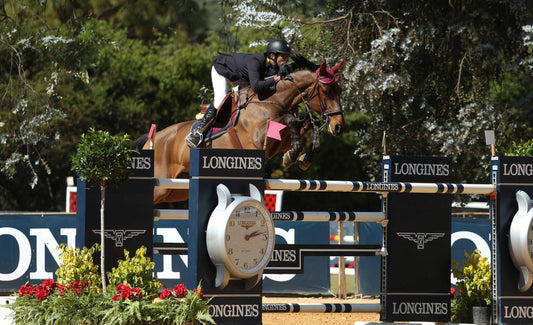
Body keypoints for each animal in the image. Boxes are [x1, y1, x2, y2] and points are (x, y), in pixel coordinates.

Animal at [135, 55, 344, 202]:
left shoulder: (278, 143)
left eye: (340, 91)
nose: (338, 126)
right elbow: (291, 120)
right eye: (326, 91)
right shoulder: (259, 139)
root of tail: (152, 138)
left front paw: (302, 156)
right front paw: (294, 154)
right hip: (160, 188)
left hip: (176, 190)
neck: (272, 99)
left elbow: (305, 124)